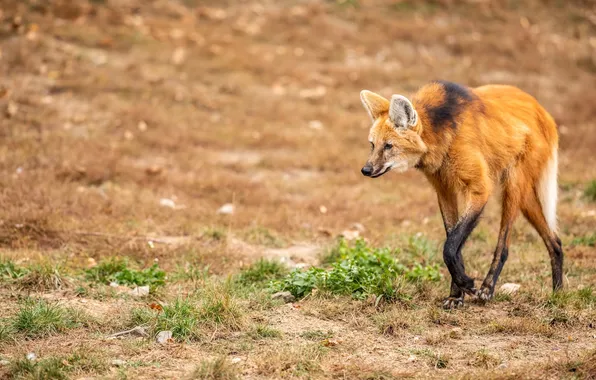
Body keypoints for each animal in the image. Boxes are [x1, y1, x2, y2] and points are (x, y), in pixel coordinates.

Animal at [358, 81, 564, 308]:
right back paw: (557, 294)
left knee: (504, 245)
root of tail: (543, 112)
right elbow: (454, 243)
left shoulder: (479, 189)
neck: (441, 134)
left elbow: (450, 246)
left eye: (389, 146)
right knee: (555, 242)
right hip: (524, 197)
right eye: (372, 145)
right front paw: (457, 294)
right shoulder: (444, 190)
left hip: (512, 188)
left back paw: (487, 288)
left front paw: (468, 284)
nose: (366, 170)